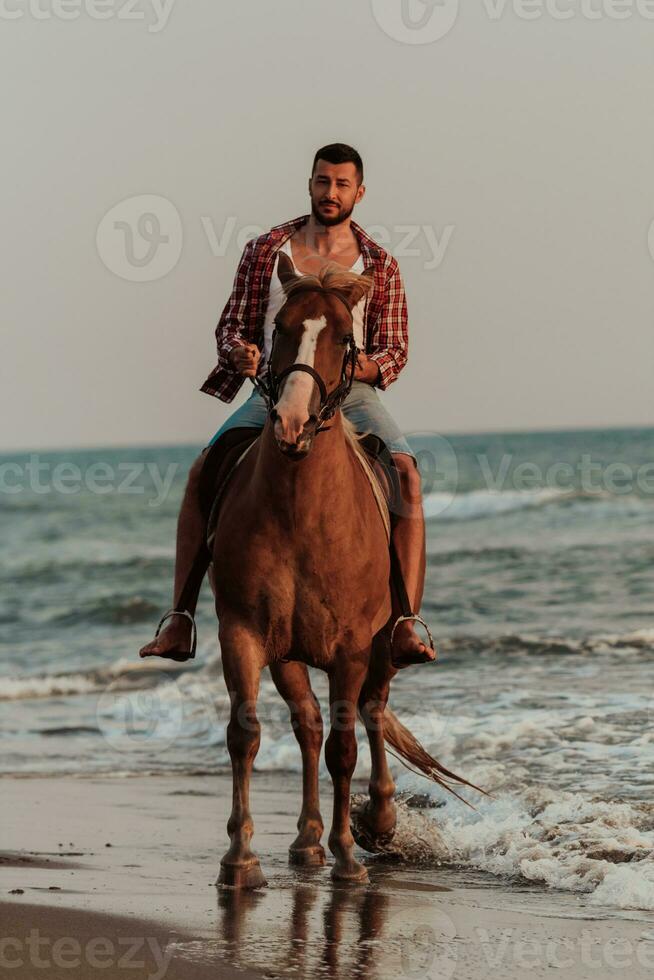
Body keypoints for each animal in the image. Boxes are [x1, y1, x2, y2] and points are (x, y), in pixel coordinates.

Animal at [213, 253, 480, 888]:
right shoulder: (243, 633)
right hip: (287, 654)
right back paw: (307, 841)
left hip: (385, 644)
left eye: (341, 336)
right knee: (309, 726)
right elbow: (246, 735)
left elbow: (345, 747)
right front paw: (241, 857)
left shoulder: (353, 646)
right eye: (279, 327)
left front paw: (350, 856)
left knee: (372, 713)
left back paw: (376, 822)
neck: (300, 509)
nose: (290, 422)